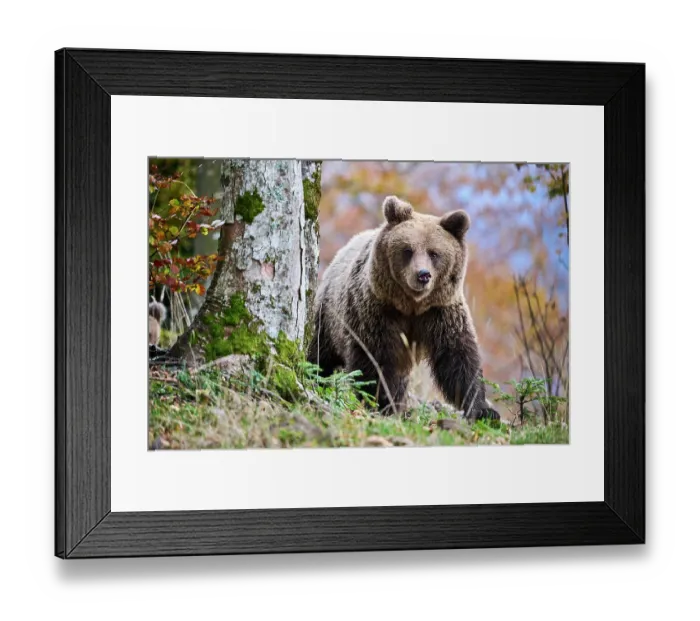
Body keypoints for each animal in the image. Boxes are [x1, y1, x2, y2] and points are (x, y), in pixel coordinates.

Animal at [308, 195, 496, 421]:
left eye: (434, 253)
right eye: (408, 250)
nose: (423, 275)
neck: (411, 305)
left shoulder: (440, 312)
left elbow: (458, 358)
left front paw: (484, 410)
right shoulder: (377, 310)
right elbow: (376, 359)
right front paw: (381, 401)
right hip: (329, 316)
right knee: (320, 353)